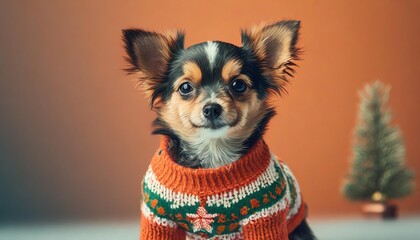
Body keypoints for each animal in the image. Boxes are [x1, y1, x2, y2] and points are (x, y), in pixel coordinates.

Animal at [121, 20, 316, 240]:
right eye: (185, 88)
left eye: (238, 84)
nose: (212, 108)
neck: (213, 153)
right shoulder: (157, 217)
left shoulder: (265, 215)